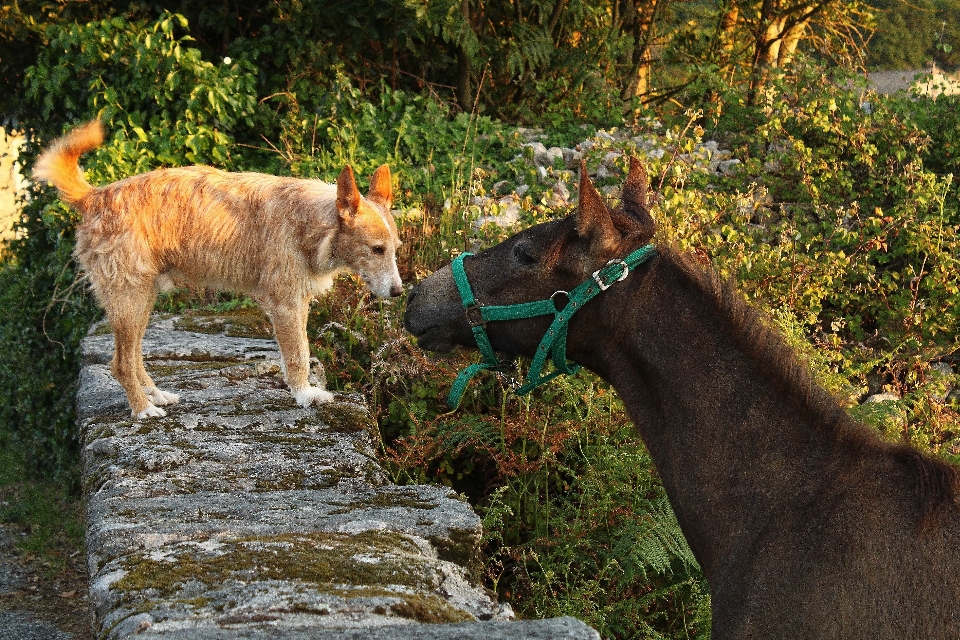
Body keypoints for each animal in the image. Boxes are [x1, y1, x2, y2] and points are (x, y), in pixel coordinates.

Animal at [33, 120, 402, 420]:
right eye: (376, 249)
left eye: (395, 248)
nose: (399, 292)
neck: (311, 221)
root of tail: (96, 196)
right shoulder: (284, 304)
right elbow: (298, 353)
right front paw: (305, 395)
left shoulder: (298, 303)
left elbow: (302, 349)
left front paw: (303, 390)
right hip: (129, 299)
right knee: (121, 363)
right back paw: (142, 410)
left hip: (141, 299)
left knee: (134, 357)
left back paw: (155, 395)